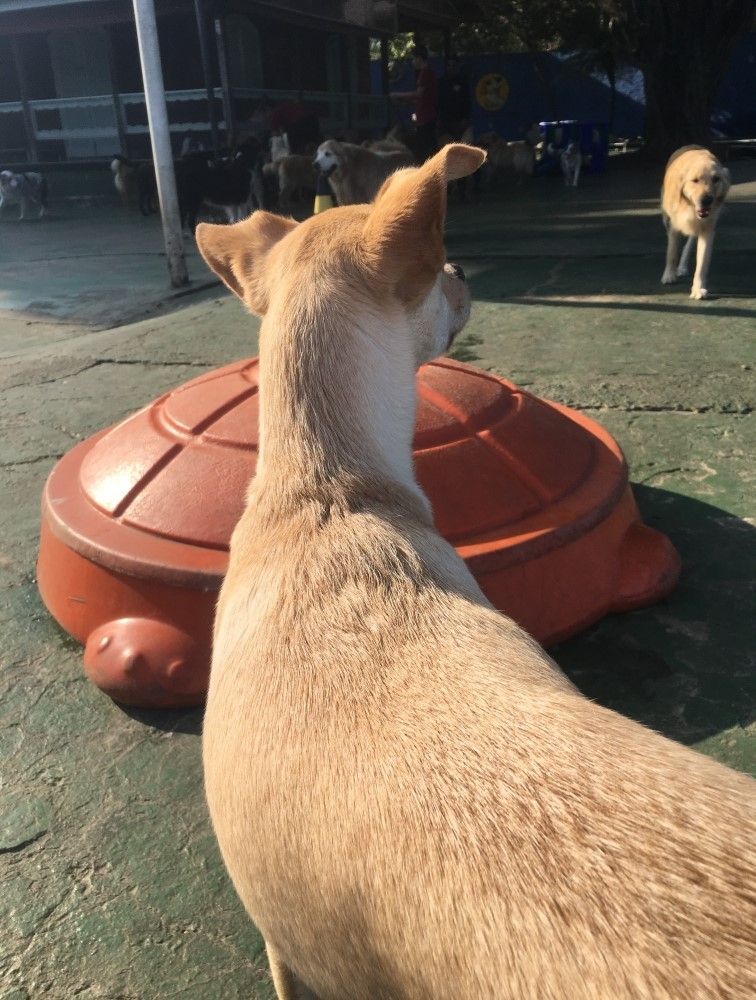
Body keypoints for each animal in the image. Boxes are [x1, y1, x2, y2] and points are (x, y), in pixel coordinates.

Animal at [660, 145, 732, 298]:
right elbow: (672, 251)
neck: (688, 207)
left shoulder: (707, 229)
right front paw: (669, 275)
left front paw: (698, 289)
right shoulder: (674, 223)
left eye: (716, 179)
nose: (707, 200)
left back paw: (682, 267)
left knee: (690, 242)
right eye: (695, 180)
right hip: (666, 217)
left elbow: (702, 262)